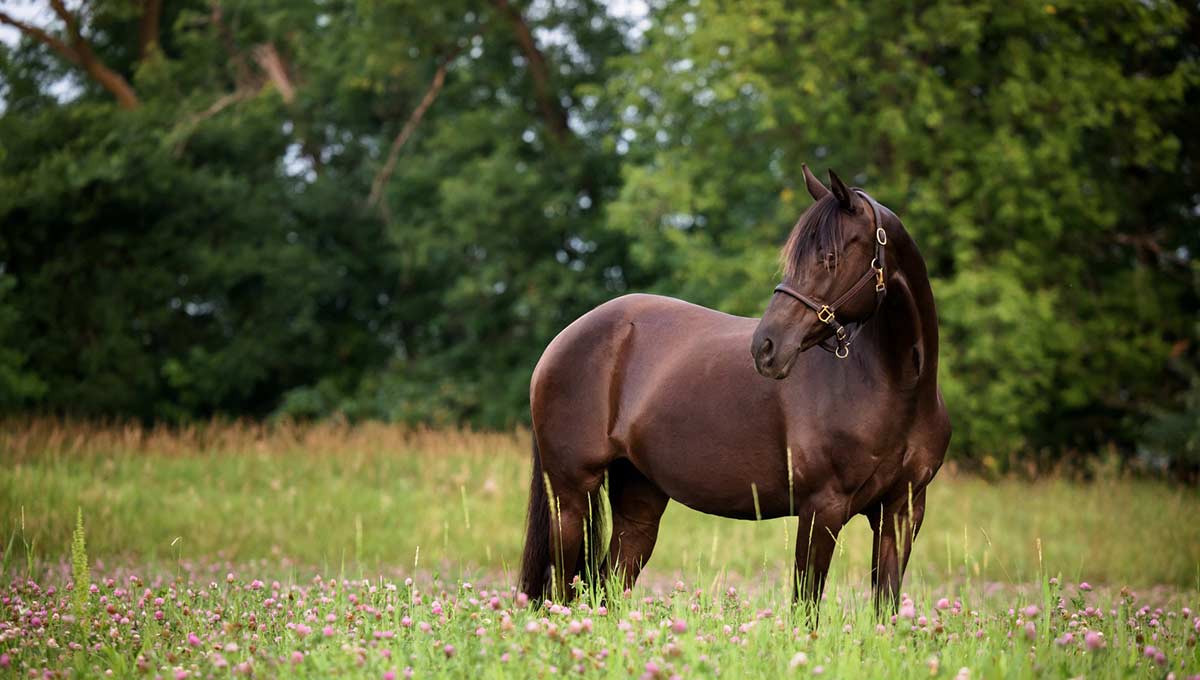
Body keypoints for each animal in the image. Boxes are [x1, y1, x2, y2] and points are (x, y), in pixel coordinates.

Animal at [520, 165, 950, 618]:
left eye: (830, 257)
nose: (767, 347)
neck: (895, 387)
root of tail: (562, 341)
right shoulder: (823, 508)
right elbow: (805, 607)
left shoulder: (901, 512)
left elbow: (886, 605)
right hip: (571, 497)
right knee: (562, 590)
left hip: (639, 500)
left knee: (610, 585)